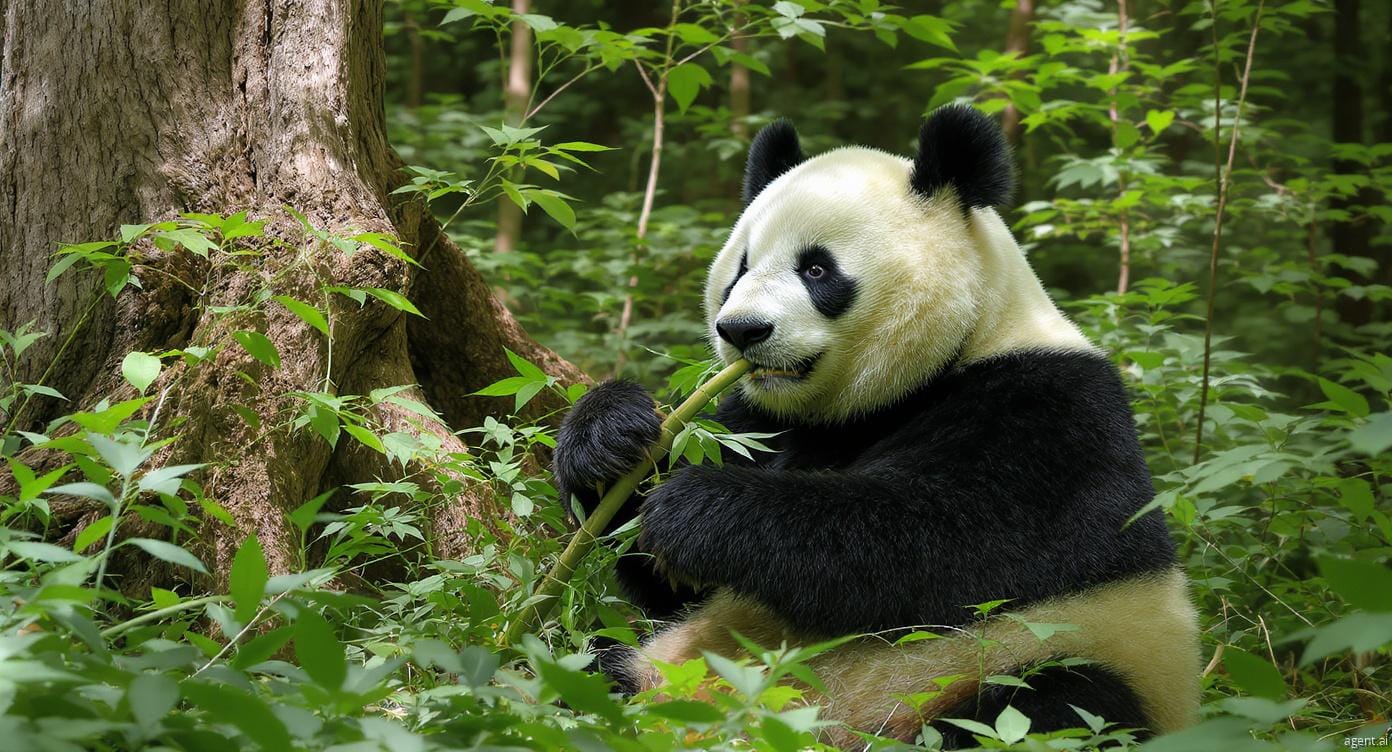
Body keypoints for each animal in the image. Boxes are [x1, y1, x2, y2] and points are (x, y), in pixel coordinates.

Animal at [553, 104, 1200, 748]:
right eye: (740, 268)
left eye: (816, 268)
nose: (742, 330)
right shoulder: (760, 420)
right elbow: (663, 582)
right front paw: (610, 437)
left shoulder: (1052, 413)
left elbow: (946, 547)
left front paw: (695, 509)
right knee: (579, 669)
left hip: (1055, 662)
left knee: (1055, 707)